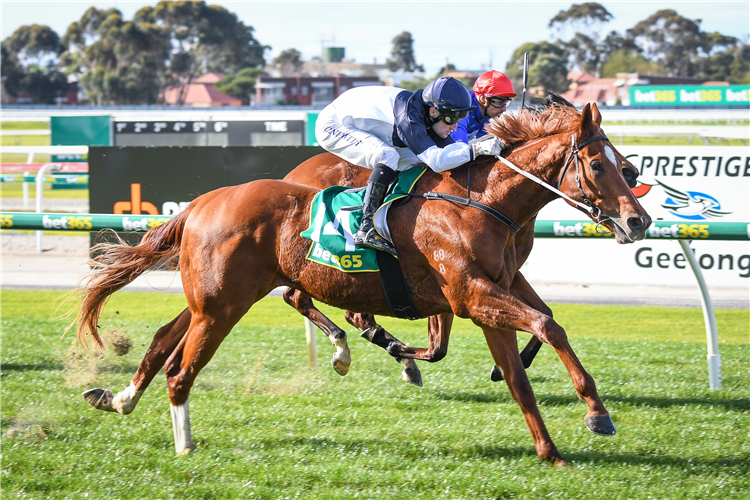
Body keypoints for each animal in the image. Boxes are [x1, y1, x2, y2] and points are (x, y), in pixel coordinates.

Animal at [78, 102, 652, 464]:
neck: (484, 202)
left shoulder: (491, 298)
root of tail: (201, 202)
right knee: (183, 369)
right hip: (223, 305)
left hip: (213, 300)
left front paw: (551, 453)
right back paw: (187, 444)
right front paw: (598, 413)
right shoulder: (471, 296)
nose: (639, 220)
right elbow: (548, 327)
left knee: (162, 343)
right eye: (598, 163)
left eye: (624, 164)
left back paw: (117, 398)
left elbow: (521, 374)